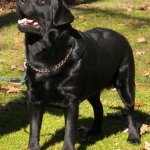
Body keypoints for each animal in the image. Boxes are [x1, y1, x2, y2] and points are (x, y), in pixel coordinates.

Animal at [16, 0, 141, 149]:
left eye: (42, 2)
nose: (20, 1)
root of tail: (121, 36)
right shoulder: (34, 98)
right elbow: (34, 128)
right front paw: (33, 147)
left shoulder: (71, 101)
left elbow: (69, 131)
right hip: (93, 88)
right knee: (98, 107)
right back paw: (94, 131)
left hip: (125, 82)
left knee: (130, 111)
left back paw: (134, 137)